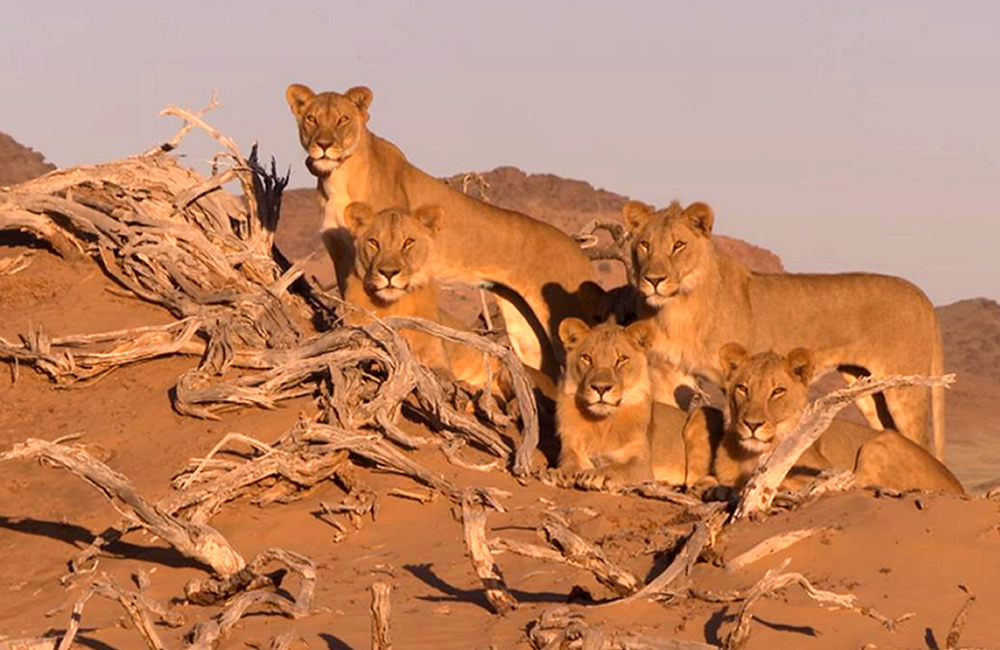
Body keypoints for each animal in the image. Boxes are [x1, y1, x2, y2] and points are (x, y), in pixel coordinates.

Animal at [282, 86, 596, 380]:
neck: (336, 177)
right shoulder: (343, 257)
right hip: (524, 328)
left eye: (343, 119)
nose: (323, 145)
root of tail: (579, 253)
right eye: (311, 119)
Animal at [552, 316, 724, 488]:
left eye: (621, 359)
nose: (601, 388)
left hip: (702, 413)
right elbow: (570, 463)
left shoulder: (642, 464)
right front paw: (561, 473)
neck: (601, 425)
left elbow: (617, 467)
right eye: (587, 358)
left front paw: (596, 474)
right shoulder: (571, 450)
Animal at [624, 200, 944, 458]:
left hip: (904, 388)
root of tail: (922, 295)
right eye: (644, 245)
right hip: (867, 388)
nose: (654, 280)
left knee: (921, 441)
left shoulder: (738, 377)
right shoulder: (670, 373)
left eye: (678, 245)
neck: (678, 307)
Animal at [716, 344, 964, 492]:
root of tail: (959, 487)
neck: (748, 456)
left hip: (879, 444)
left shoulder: (819, 470)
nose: (752, 424)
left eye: (777, 391)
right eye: (743, 388)